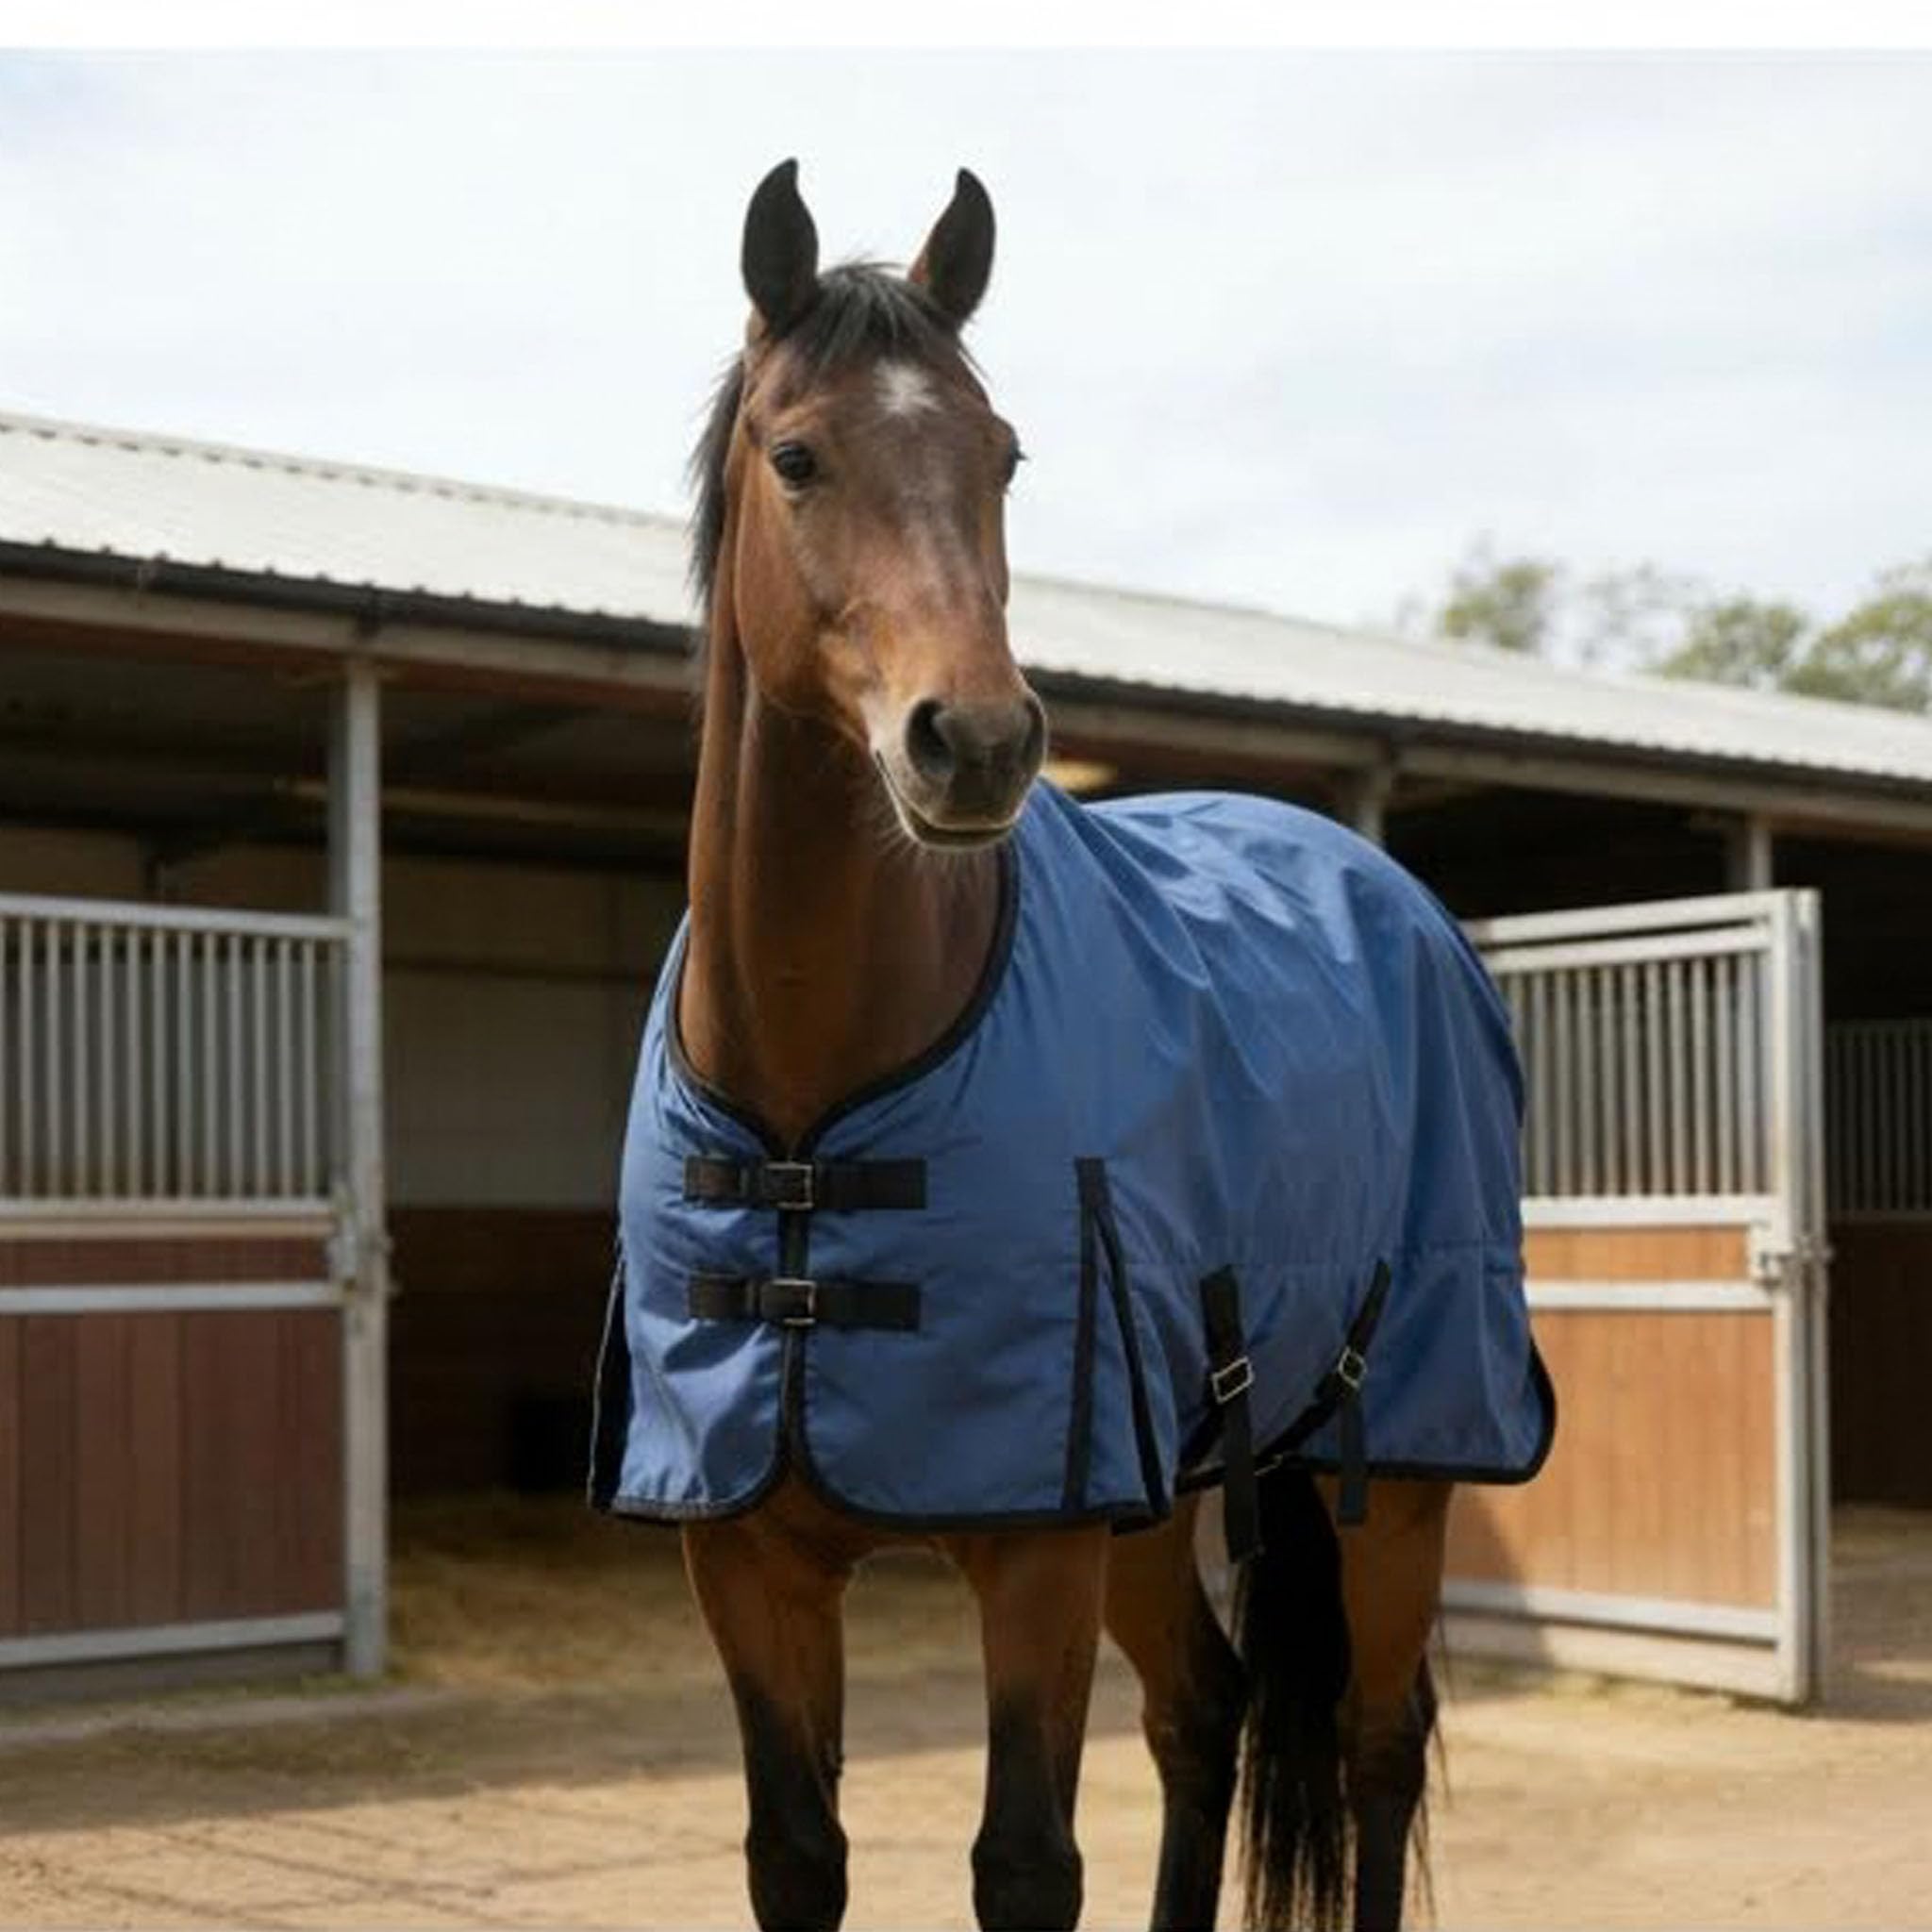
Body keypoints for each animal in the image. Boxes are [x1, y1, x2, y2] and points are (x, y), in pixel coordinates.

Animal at [590, 160, 1550, 1931]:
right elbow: (796, 1856)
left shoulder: (1033, 1534)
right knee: (1204, 1711)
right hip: (1160, 1490)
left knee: (1374, 1746)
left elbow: (1026, 1862)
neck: (815, 1104)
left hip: (1397, 1462)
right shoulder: (746, 1555)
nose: (972, 741)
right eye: (796, 454)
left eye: (1002, 454)